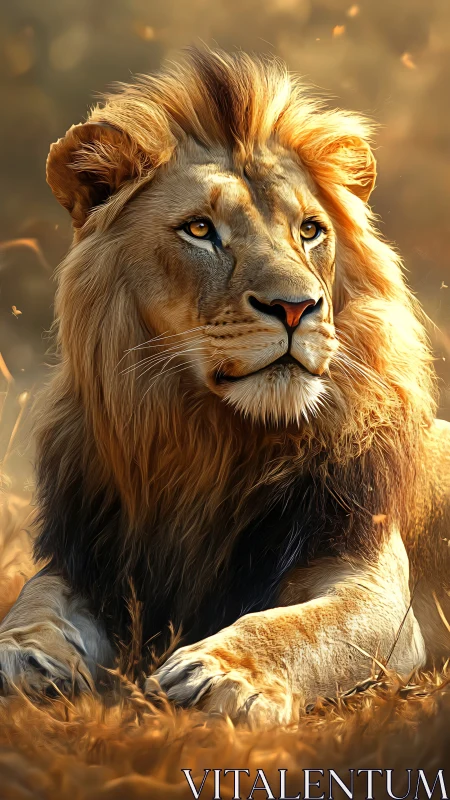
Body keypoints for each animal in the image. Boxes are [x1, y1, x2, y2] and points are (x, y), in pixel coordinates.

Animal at [1, 48, 449, 724]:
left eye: (311, 231)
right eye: (199, 229)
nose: (297, 307)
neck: (209, 442)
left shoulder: (377, 589)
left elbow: (301, 626)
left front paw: (220, 672)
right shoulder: (91, 560)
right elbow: (35, 595)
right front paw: (21, 651)